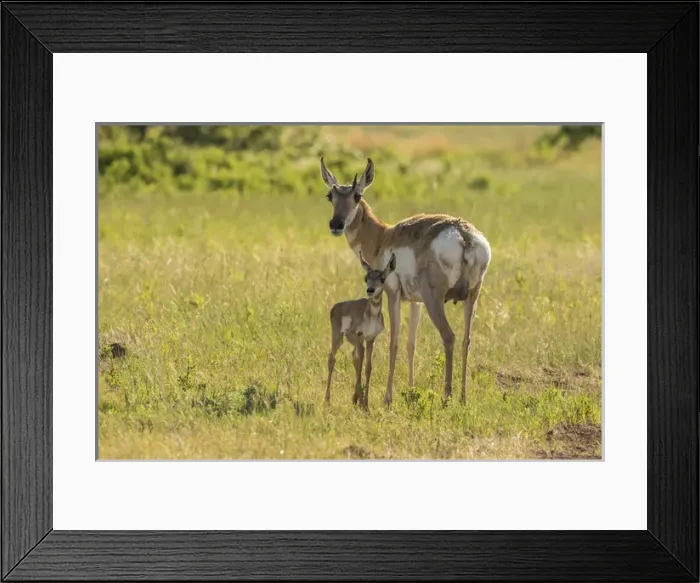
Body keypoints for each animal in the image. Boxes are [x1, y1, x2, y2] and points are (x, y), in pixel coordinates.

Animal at [326, 251, 397, 410]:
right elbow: (361, 359)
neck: (370, 316)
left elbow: (368, 367)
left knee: (354, 356)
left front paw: (365, 403)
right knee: (332, 358)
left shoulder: (370, 339)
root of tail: (336, 307)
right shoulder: (354, 335)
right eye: (366, 278)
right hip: (338, 337)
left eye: (382, 279)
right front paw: (359, 399)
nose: (370, 290)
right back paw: (327, 400)